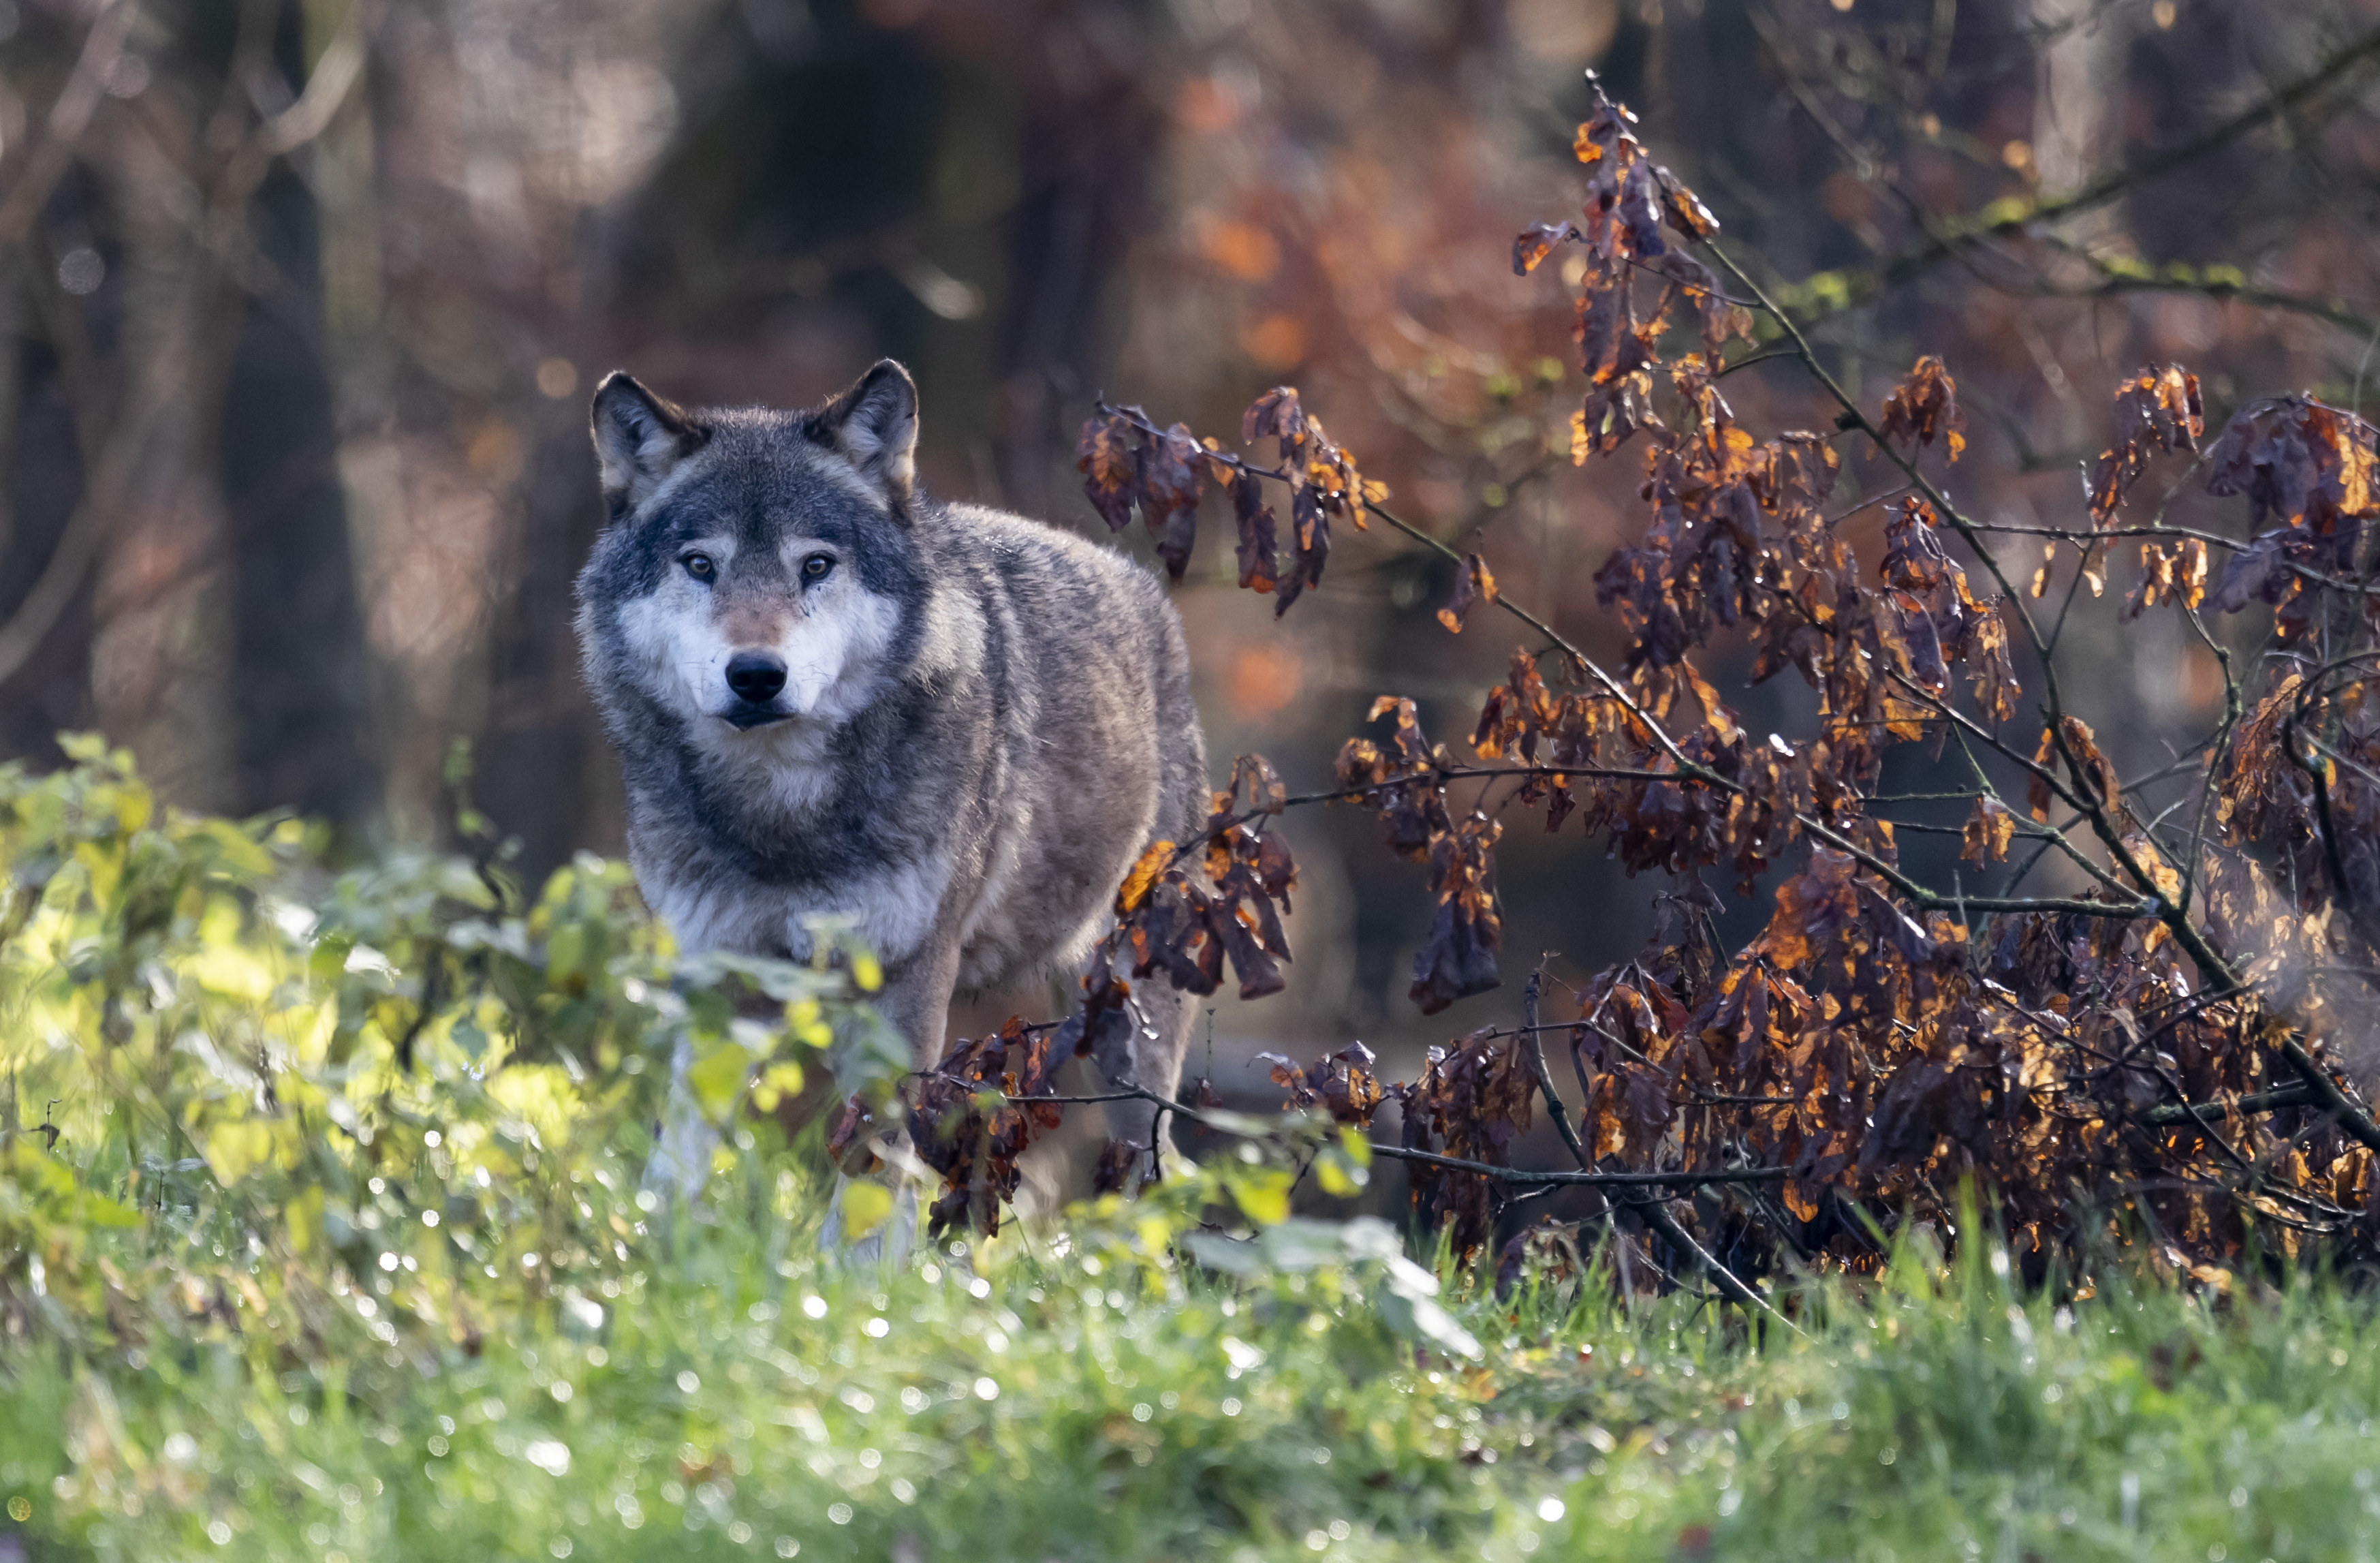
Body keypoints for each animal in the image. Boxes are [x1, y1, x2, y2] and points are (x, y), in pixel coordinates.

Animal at [576, 359, 1208, 1175]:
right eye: (700, 565)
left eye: (816, 565)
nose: (756, 675)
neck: (783, 814)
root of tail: (1142, 589)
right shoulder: (715, 976)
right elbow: (675, 1167)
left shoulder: (906, 984)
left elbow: (871, 1172)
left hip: (1126, 1042)